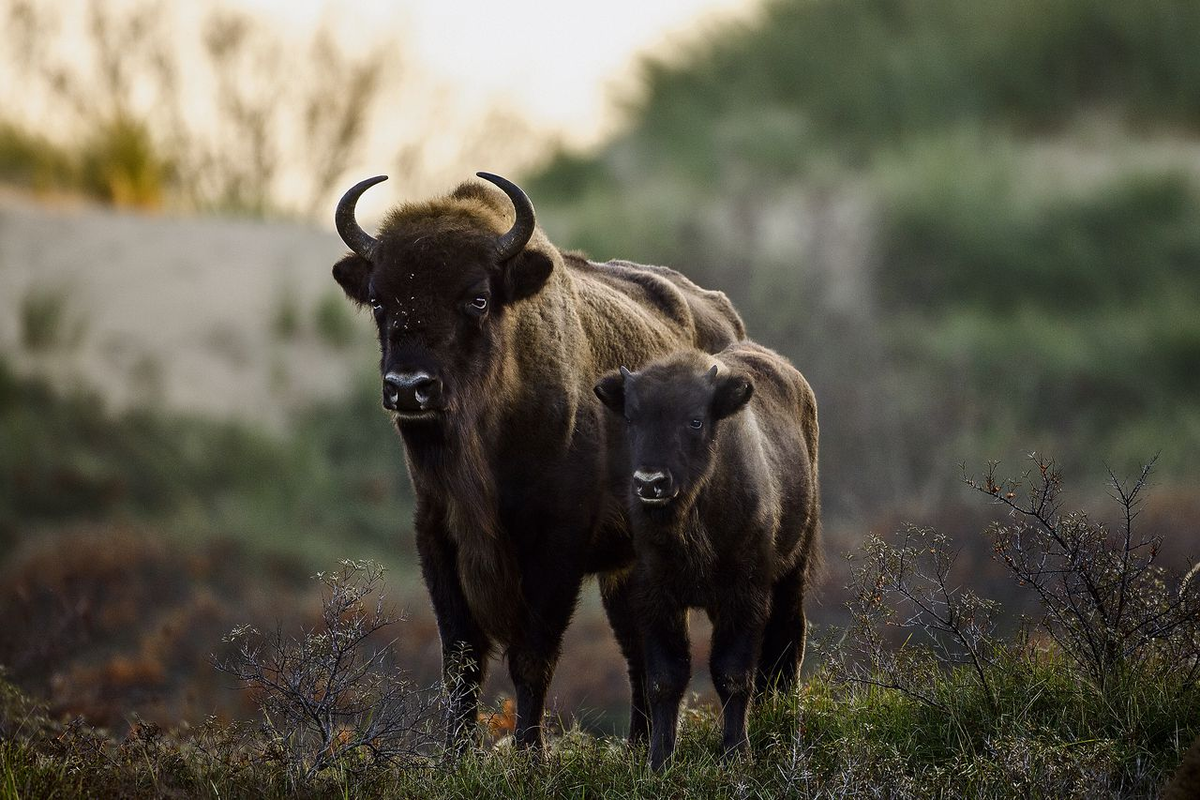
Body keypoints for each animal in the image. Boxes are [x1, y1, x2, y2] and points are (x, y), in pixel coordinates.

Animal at [328, 170, 739, 753]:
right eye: (379, 301)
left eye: (477, 299)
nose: (409, 388)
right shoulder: (438, 537)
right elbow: (462, 661)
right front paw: (455, 756)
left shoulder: (556, 547)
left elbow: (532, 658)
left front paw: (530, 754)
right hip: (626, 571)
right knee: (637, 655)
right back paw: (637, 748)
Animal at [592, 343, 820, 767]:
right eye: (631, 418)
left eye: (695, 420)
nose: (650, 482)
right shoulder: (656, 597)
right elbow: (665, 677)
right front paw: (659, 760)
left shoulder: (744, 594)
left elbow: (732, 672)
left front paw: (736, 754)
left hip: (792, 571)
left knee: (787, 639)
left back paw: (780, 720)